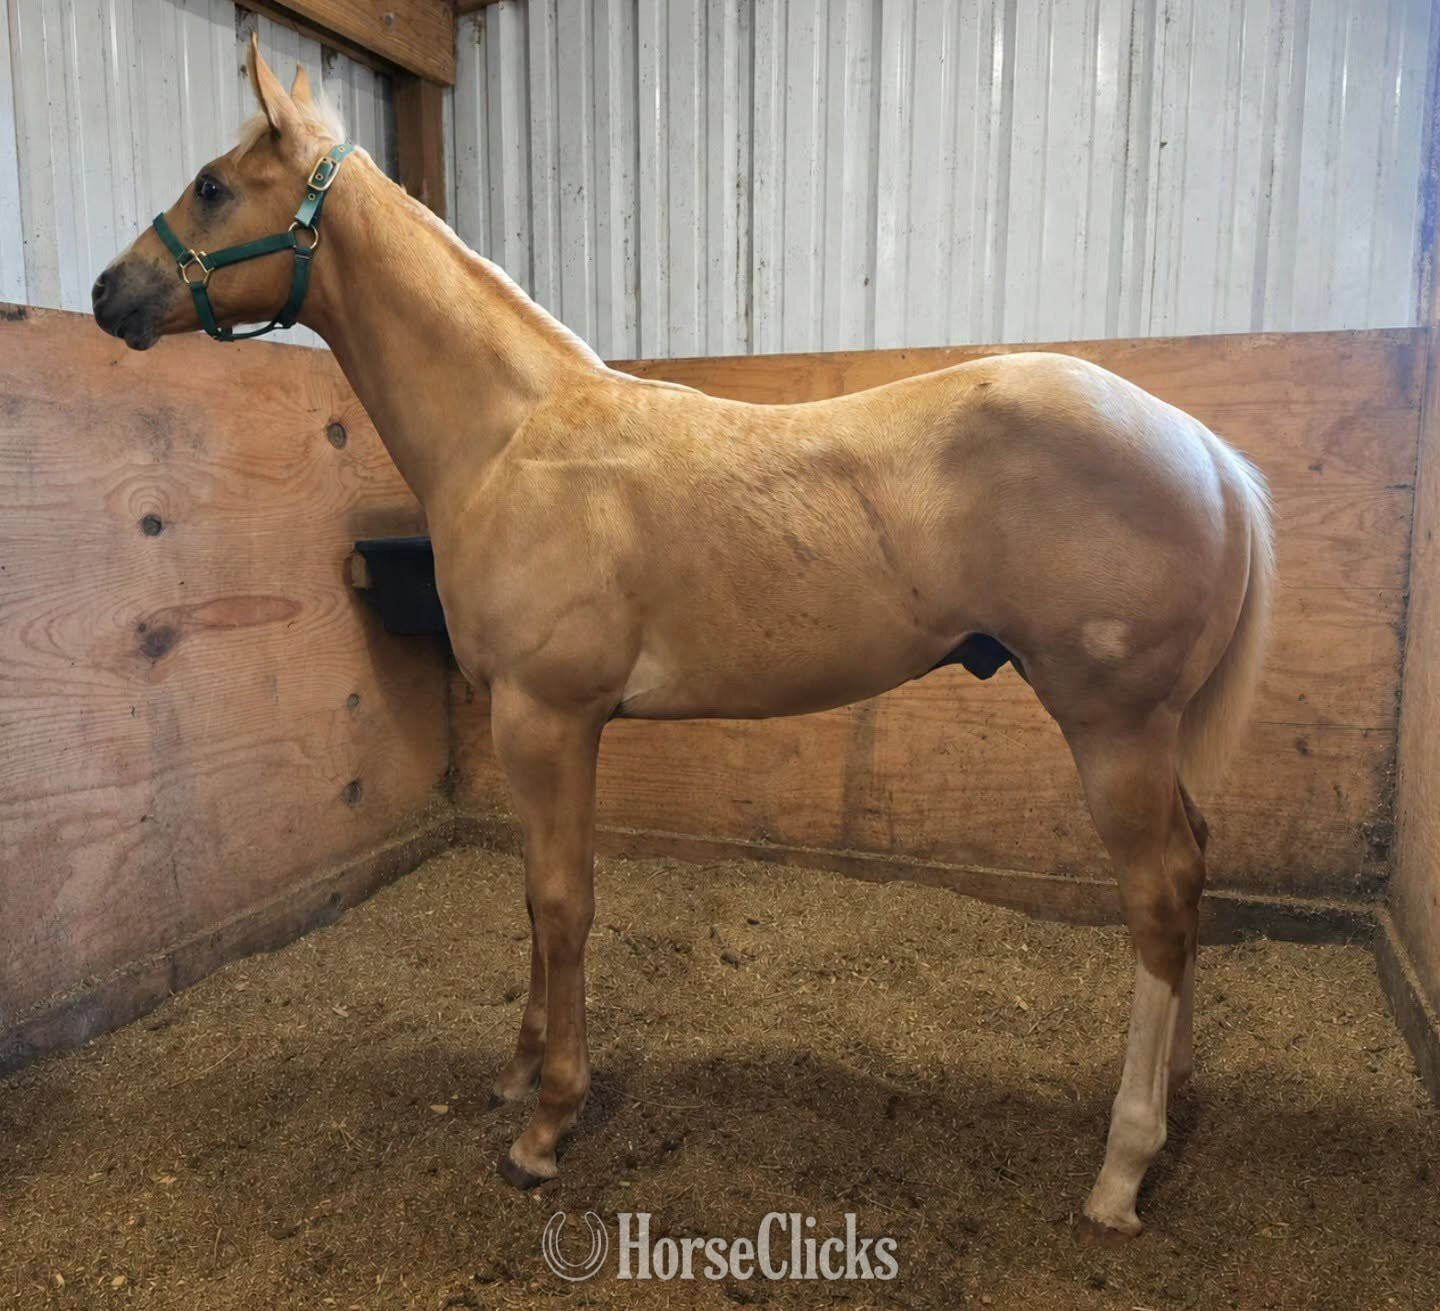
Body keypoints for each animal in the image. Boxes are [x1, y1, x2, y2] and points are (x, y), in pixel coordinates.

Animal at [93, 39, 1274, 1241]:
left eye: (213, 186)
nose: (107, 291)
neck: (513, 440)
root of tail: (1206, 451)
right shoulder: (537, 727)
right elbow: (535, 899)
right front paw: (518, 1074)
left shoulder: (549, 719)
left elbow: (563, 903)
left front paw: (546, 1124)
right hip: (1149, 738)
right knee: (1194, 870)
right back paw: (1173, 1099)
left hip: (1113, 729)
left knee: (1160, 899)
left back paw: (1122, 1168)